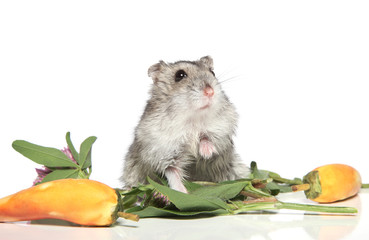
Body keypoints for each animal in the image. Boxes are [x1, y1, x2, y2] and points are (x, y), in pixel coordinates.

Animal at [122, 56, 249, 193]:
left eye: (212, 72)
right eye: (180, 75)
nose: (210, 92)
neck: (192, 116)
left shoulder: (223, 125)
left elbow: (206, 136)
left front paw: (206, 153)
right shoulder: (163, 150)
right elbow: (171, 171)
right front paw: (182, 192)